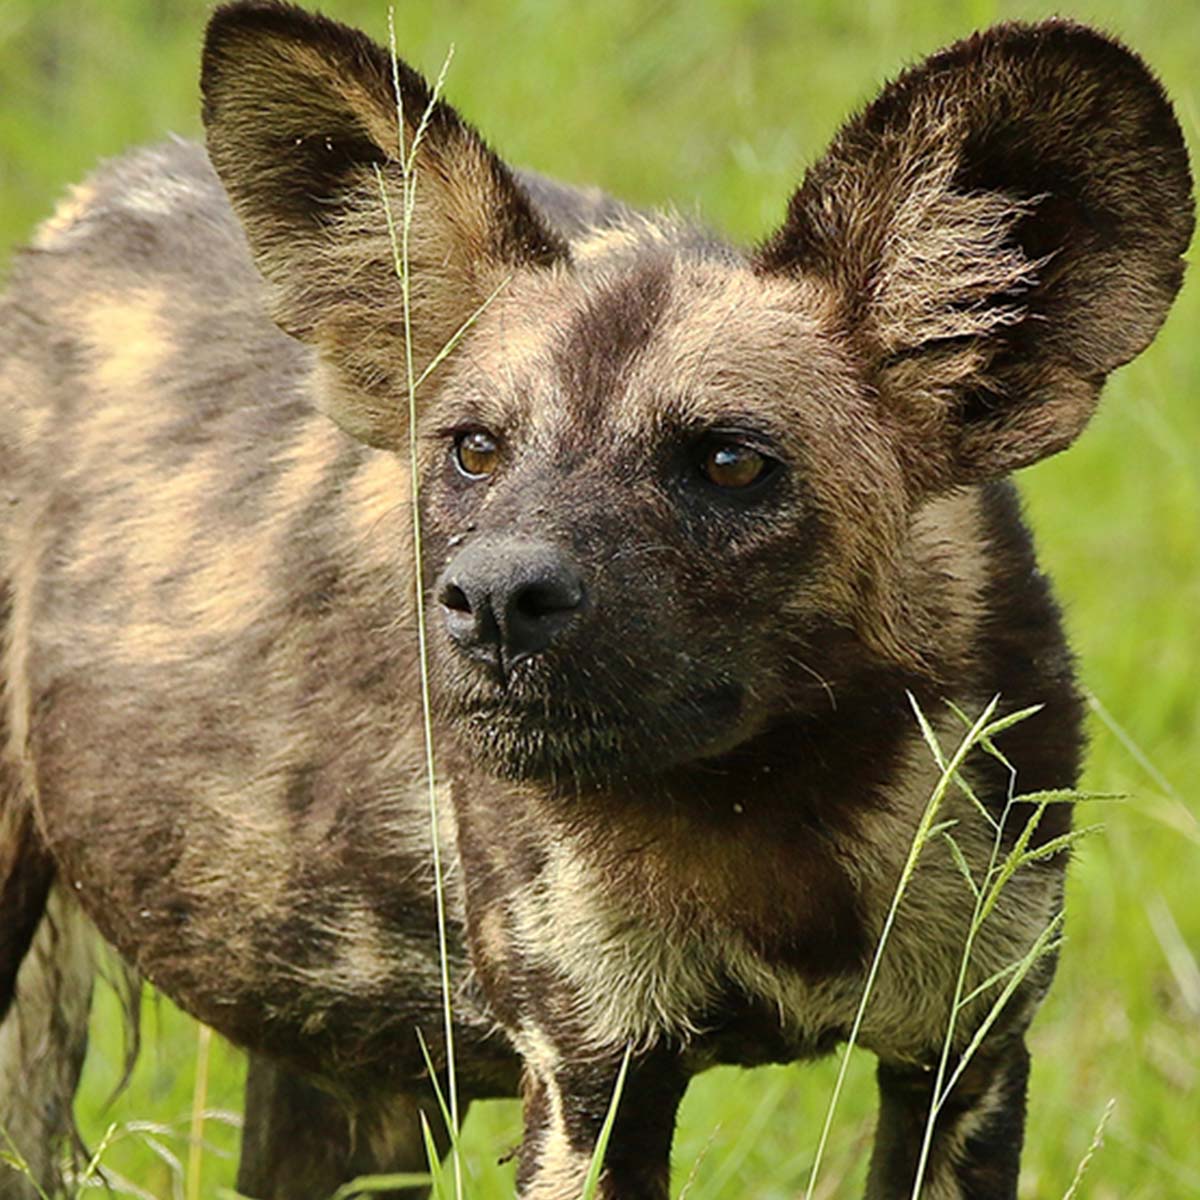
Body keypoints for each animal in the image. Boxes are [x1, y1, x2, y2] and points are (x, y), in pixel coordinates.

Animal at [0, 0, 1190, 1195]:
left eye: (730, 462)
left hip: (355, 1085)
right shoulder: (592, 1073)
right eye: (476, 450)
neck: (776, 801)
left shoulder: (967, 1055)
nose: (492, 599)